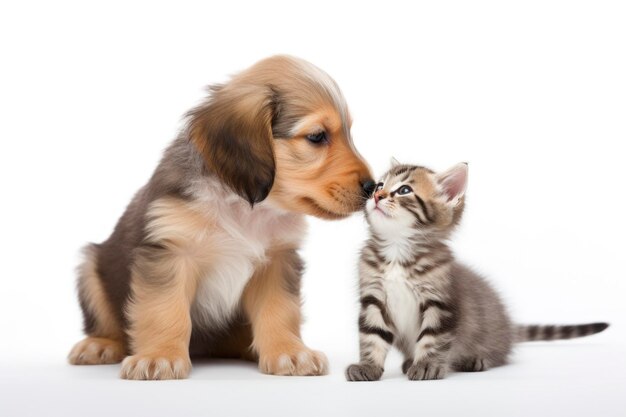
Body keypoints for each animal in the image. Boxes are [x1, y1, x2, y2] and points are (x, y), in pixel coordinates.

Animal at [67, 56, 376, 380]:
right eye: (317, 136)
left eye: (349, 133)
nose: (373, 187)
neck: (244, 209)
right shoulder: (169, 253)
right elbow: (165, 310)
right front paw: (160, 356)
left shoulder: (277, 261)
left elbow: (279, 310)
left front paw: (289, 352)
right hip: (90, 268)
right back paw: (99, 344)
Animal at [344, 160, 608, 380]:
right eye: (380, 185)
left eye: (404, 190)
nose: (376, 195)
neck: (397, 251)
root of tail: (508, 328)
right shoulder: (373, 298)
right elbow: (372, 337)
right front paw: (367, 366)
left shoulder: (441, 302)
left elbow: (433, 338)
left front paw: (428, 364)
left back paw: (474, 360)